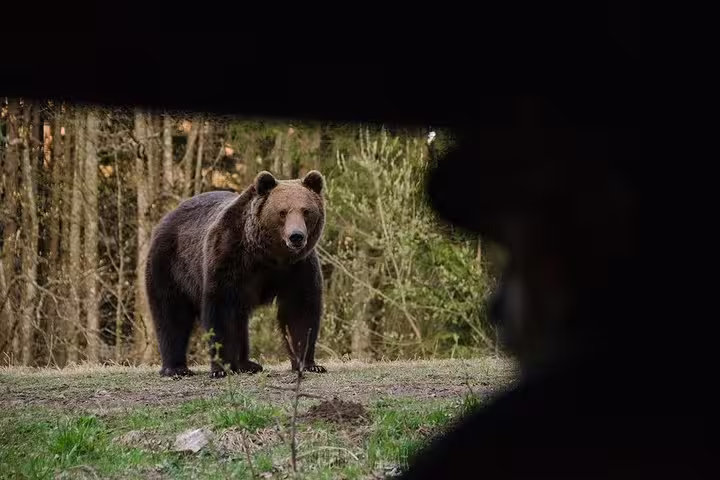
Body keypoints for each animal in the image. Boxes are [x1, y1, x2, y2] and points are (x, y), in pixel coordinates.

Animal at [144, 170, 328, 378]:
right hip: (171, 266)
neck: (267, 256)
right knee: (171, 314)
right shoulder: (228, 256)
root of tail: (167, 216)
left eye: (306, 211)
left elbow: (300, 311)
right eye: (282, 212)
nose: (296, 236)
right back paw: (176, 368)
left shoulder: (297, 268)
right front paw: (221, 368)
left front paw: (310, 364)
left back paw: (247, 364)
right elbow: (221, 311)